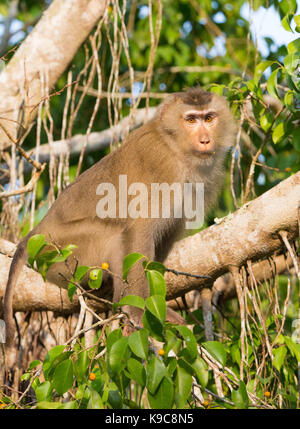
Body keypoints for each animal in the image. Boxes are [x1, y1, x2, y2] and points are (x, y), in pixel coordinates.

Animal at [2, 87, 237, 344]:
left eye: (209, 118)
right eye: (191, 120)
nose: (205, 140)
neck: (174, 145)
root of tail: (31, 237)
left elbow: (165, 237)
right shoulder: (164, 169)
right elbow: (139, 231)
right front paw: (138, 311)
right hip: (59, 255)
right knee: (116, 235)